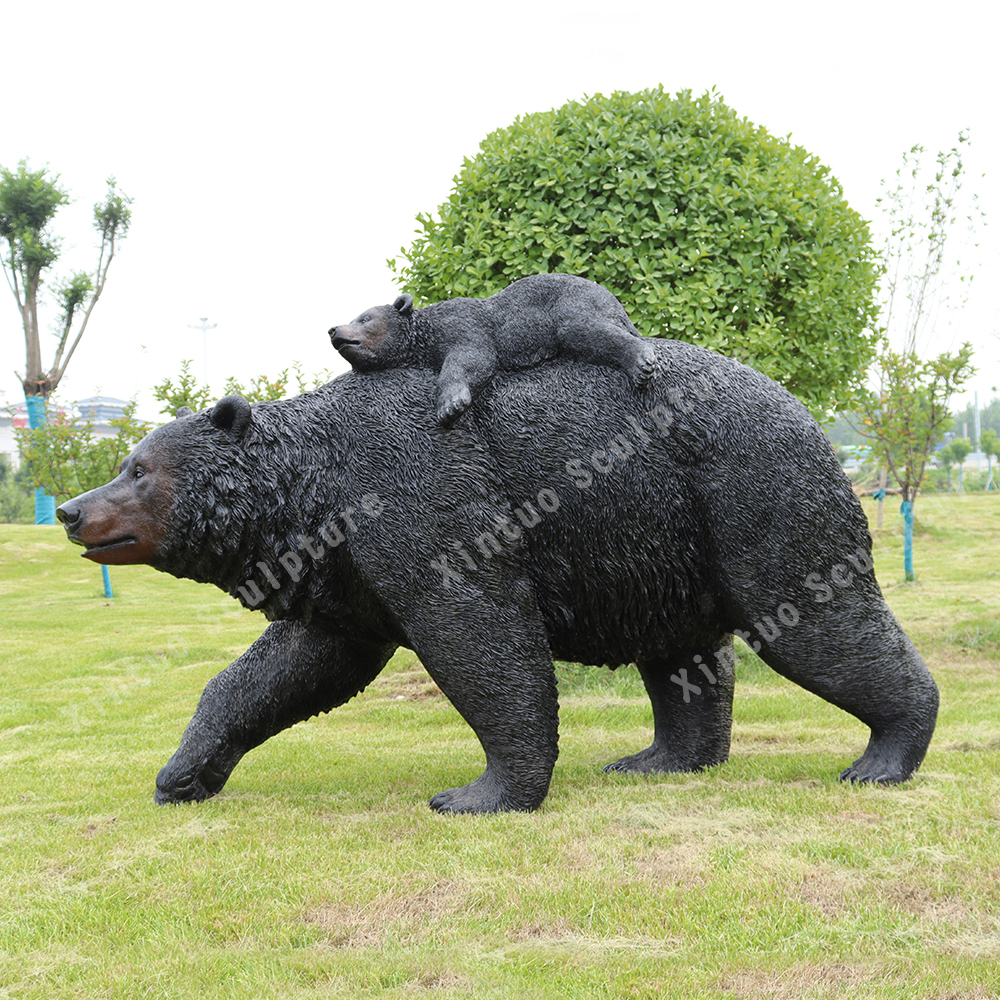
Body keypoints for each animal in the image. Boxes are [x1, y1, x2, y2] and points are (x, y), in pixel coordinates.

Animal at [56, 340, 938, 814]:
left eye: (137, 469)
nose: (70, 508)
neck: (314, 493)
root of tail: (813, 417)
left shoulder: (421, 495)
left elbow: (480, 634)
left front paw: (479, 793)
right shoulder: (342, 576)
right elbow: (293, 665)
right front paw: (181, 774)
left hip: (754, 493)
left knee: (816, 618)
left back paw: (882, 757)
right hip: (665, 543)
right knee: (681, 652)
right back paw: (659, 759)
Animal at [328, 273, 656, 425]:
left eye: (364, 318)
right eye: (354, 317)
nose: (334, 330)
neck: (425, 334)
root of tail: (614, 299)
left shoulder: (463, 324)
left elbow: (474, 357)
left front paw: (450, 405)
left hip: (572, 301)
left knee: (582, 329)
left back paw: (641, 363)